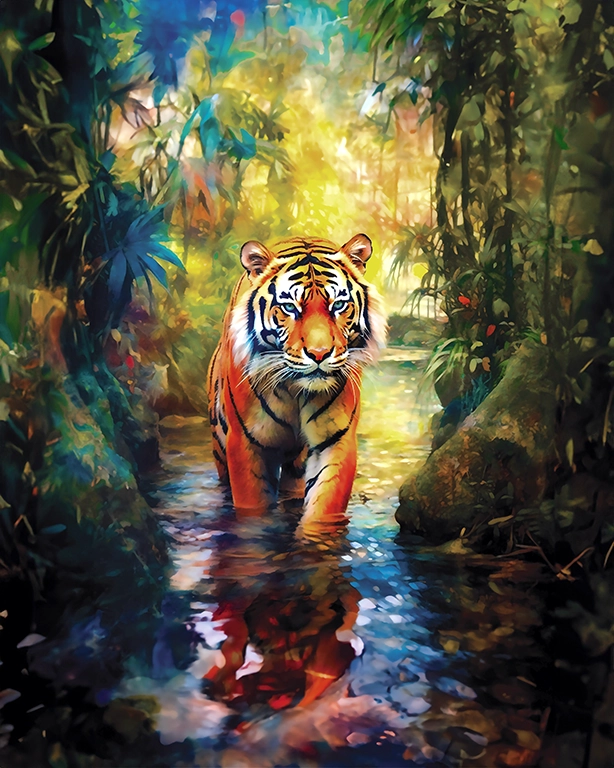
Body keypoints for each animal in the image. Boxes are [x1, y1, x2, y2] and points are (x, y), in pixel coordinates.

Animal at [207, 234, 386, 528]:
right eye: (290, 307)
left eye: (338, 305)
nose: (319, 354)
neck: (295, 390)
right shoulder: (246, 444)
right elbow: (252, 509)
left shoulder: (335, 439)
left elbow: (324, 508)